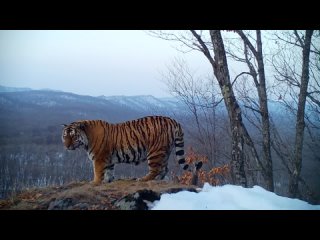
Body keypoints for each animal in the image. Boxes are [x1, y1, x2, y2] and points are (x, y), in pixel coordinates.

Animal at [61, 115, 189, 185]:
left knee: (156, 169)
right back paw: (158, 180)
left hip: (155, 152)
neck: (86, 139)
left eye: (73, 136)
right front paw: (108, 181)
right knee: (164, 169)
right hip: (165, 152)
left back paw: (142, 179)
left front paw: (95, 182)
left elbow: (97, 172)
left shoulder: (99, 158)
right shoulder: (108, 159)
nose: (66, 146)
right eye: (65, 136)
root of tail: (173, 121)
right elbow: (109, 172)